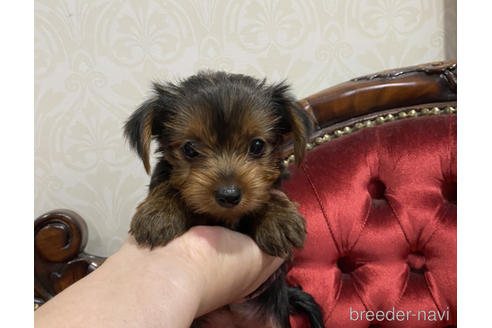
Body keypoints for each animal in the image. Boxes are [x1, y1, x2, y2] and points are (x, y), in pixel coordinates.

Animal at [124, 72, 322, 328]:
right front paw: (158, 212)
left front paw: (279, 218)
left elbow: (267, 194)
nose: (229, 195)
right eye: (189, 149)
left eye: (257, 145)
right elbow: (170, 186)